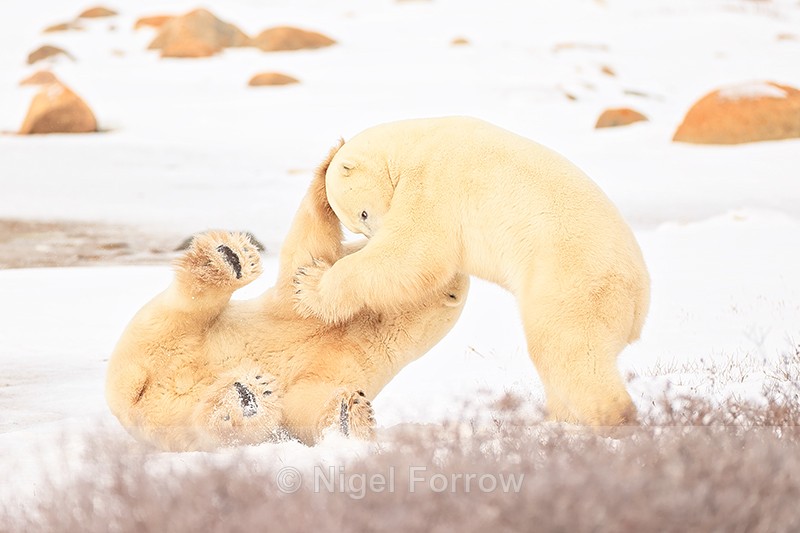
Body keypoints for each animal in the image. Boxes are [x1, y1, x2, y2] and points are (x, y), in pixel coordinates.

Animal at [105, 141, 469, 451]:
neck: (365, 324)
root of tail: (138, 403)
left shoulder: (355, 363)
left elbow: (305, 407)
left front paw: (350, 413)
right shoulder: (302, 312)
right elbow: (308, 255)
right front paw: (331, 162)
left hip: (170, 408)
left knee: (211, 425)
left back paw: (246, 398)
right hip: (150, 339)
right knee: (184, 310)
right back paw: (230, 259)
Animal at [292, 116, 650, 427]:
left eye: (363, 214)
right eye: (358, 224)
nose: (373, 235)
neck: (413, 143)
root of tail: (639, 303)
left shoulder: (434, 182)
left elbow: (411, 251)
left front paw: (309, 284)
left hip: (572, 281)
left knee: (565, 348)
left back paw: (609, 417)